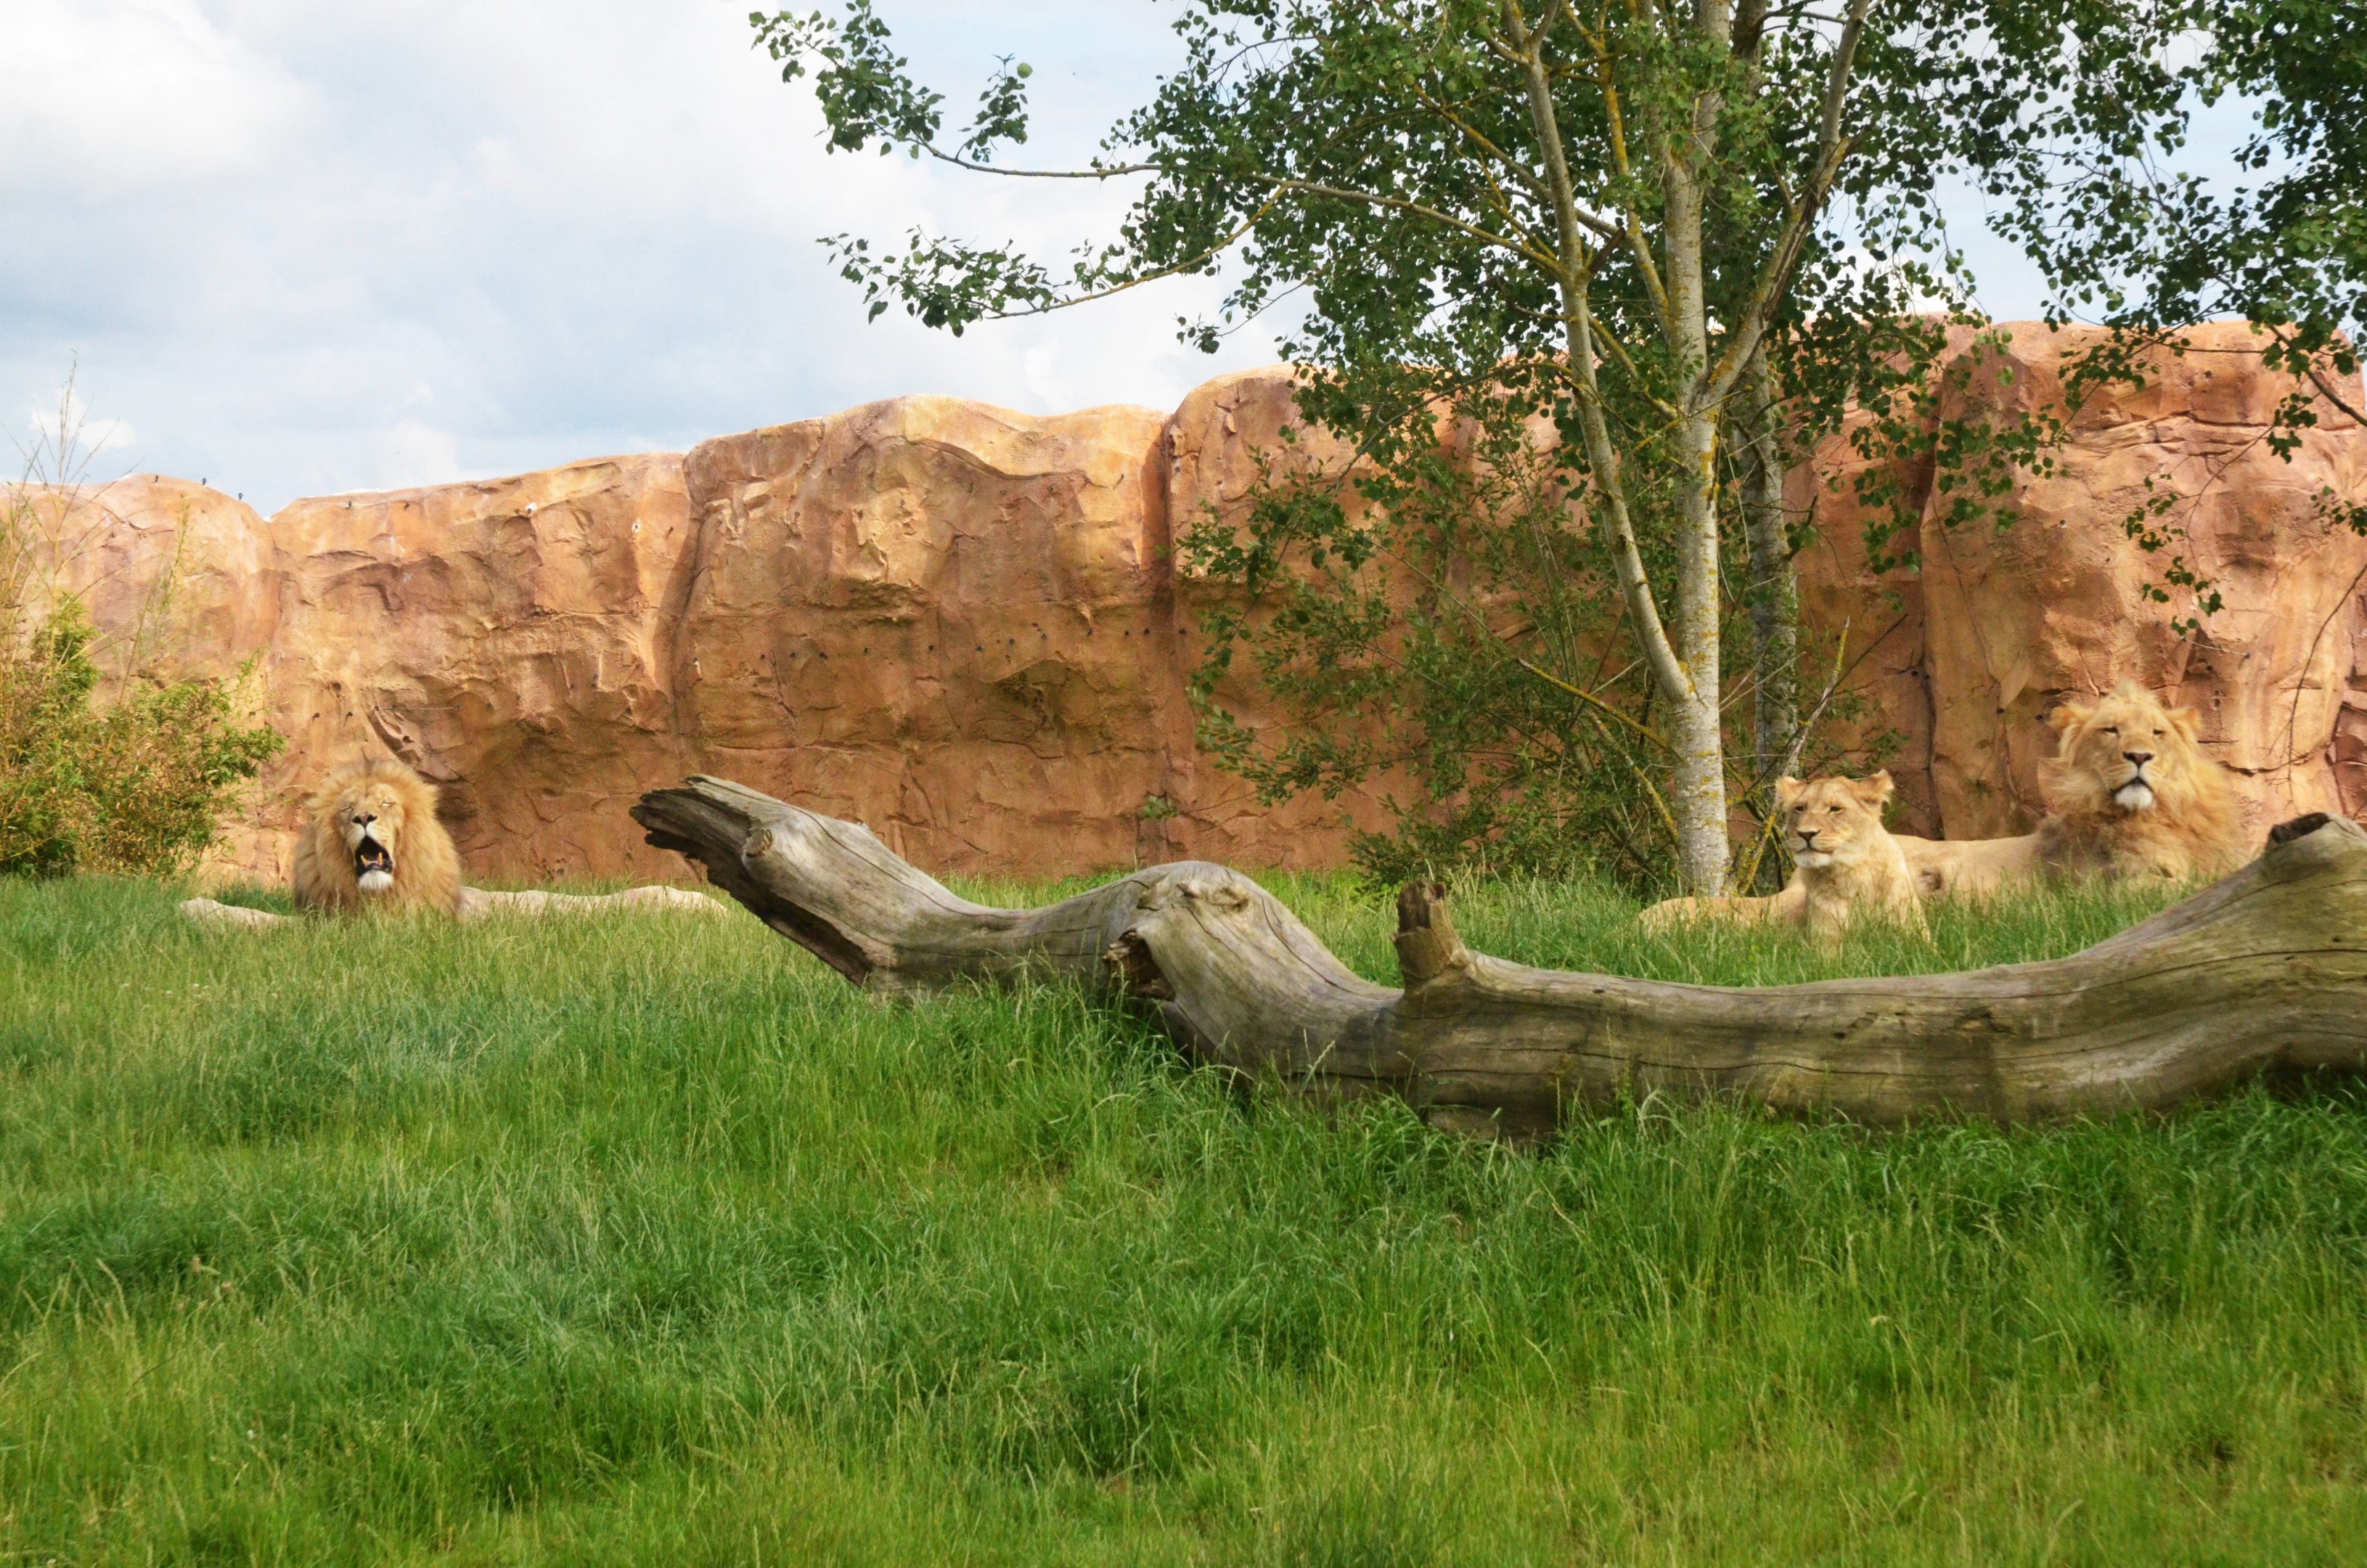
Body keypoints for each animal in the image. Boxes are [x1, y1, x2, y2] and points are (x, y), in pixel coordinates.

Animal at [1640, 771, 1926, 945]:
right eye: (1800, 808)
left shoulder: (1918, 943)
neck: (1853, 876)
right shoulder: (1824, 947)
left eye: (1836, 809)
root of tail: (1638, 919)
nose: (1806, 833)